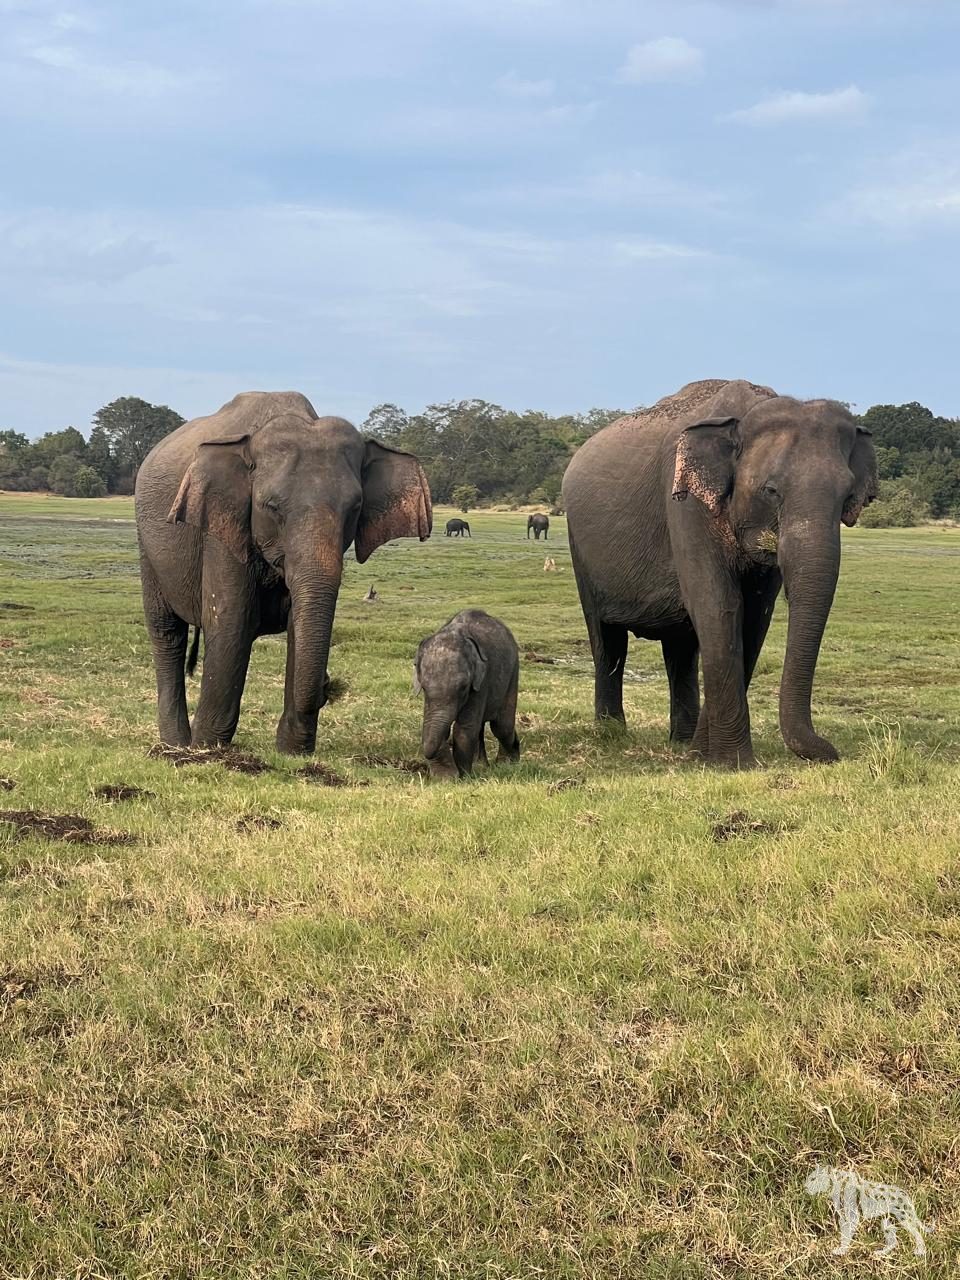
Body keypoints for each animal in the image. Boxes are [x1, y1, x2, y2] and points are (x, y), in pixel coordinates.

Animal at [135, 391, 432, 755]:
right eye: (271, 507)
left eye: (355, 508)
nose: (329, 685)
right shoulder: (223, 526)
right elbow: (231, 621)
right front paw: (208, 750)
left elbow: (298, 626)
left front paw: (291, 753)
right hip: (147, 544)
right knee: (167, 632)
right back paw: (177, 746)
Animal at [413, 609, 521, 778]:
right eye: (423, 688)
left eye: (464, 687)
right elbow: (433, 723)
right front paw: (445, 778)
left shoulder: (481, 682)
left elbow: (465, 727)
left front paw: (463, 776)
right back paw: (482, 765)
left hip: (513, 671)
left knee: (502, 726)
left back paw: (508, 763)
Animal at [562, 379, 878, 768]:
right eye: (771, 490)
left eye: (848, 495)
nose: (832, 753)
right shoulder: (685, 505)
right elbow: (719, 606)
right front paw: (733, 763)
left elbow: (754, 620)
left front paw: (703, 755)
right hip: (580, 547)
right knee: (607, 639)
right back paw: (611, 733)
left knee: (680, 648)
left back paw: (682, 742)